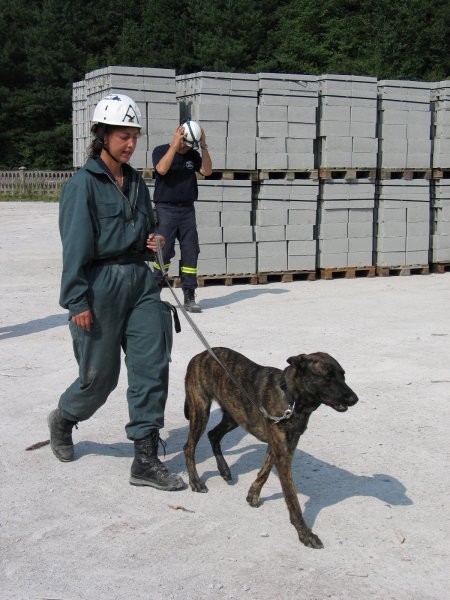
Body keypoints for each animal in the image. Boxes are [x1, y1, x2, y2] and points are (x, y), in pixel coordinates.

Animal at [183, 346, 358, 548]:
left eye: (343, 375)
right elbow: (292, 498)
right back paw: (195, 481)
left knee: (213, 435)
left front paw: (253, 494)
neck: (292, 399)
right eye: (327, 377)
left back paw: (224, 469)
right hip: (201, 411)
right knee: (189, 447)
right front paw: (305, 534)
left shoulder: (282, 446)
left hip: (235, 414)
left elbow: (264, 471)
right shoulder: (283, 454)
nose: (354, 399)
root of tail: (200, 355)